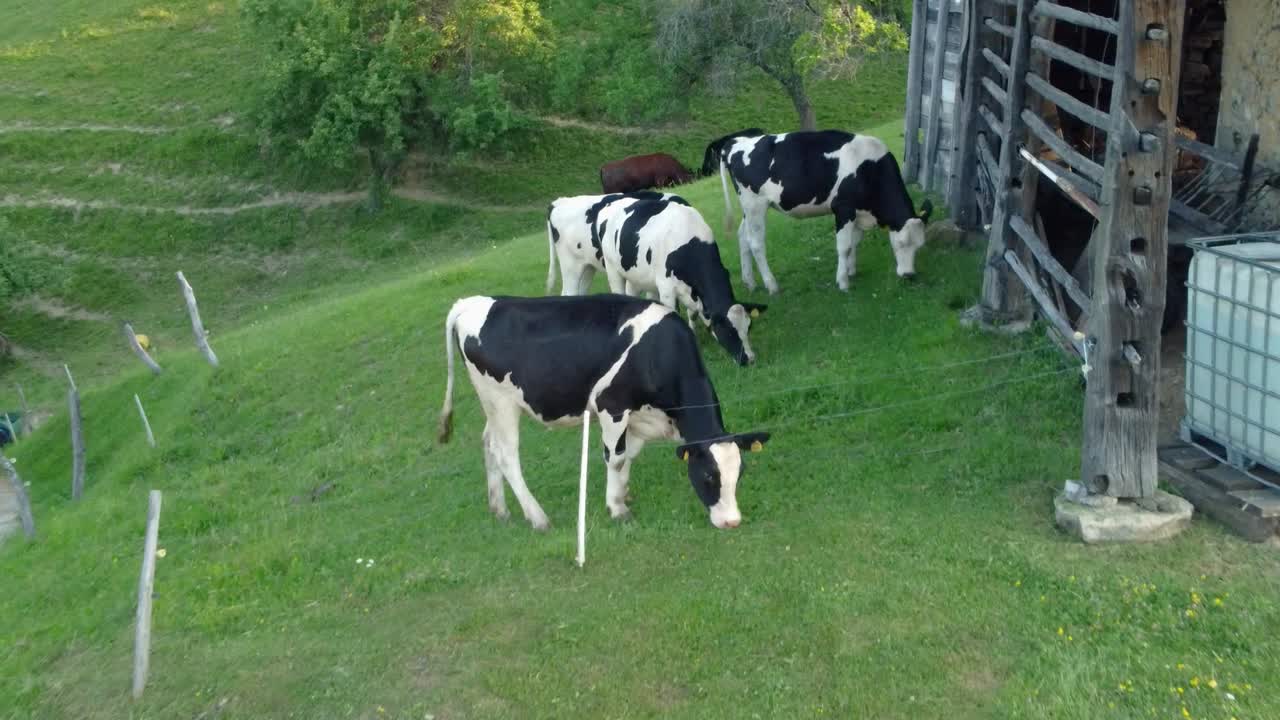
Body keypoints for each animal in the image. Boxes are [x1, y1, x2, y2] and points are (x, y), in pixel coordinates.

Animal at [437, 294, 770, 530]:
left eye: (739, 473)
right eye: (708, 476)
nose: (732, 521)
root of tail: (472, 302)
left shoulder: (637, 417)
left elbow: (628, 457)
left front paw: (622, 493)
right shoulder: (612, 404)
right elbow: (616, 457)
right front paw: (618, 509)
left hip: (493, 405)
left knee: (488, 444)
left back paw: (500, 509)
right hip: (501, 401)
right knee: (506, 454)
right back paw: (537, 517)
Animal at [596, 197, 767, 366]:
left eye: (749, 326)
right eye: (729, 332)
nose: (750, 359)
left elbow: (693, 314)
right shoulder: (666, 289)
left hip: (636, 276)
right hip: (613, 270)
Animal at [719, 130, 934, 294]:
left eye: (920, 246)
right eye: (901, 243)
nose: (909, 275)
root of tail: (736, 142)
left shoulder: (857, 212)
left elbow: (855, 242)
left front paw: (851, 270)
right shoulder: (843, 209)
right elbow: (844, 247)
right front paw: (843, 282)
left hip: (748, 208)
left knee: (742, 237)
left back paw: (750, 282)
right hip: (754, 204)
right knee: (756, 244)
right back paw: (771, 285)